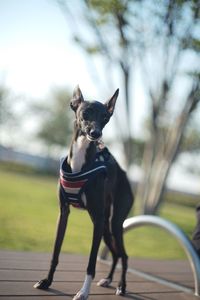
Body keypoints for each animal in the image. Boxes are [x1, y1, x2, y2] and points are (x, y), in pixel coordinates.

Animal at [34, 85, 134, 298]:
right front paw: (47, 281)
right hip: (106, 226)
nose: (95, 133)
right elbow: (55, 252)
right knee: (115, 254)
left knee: (124, 255)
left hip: (113, 222)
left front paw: (83, 292)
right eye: (85, 113)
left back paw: (121, 286)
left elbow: (91, 262)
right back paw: (108, 280)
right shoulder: (63, 213)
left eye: (105, 117)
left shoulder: (96, 220)